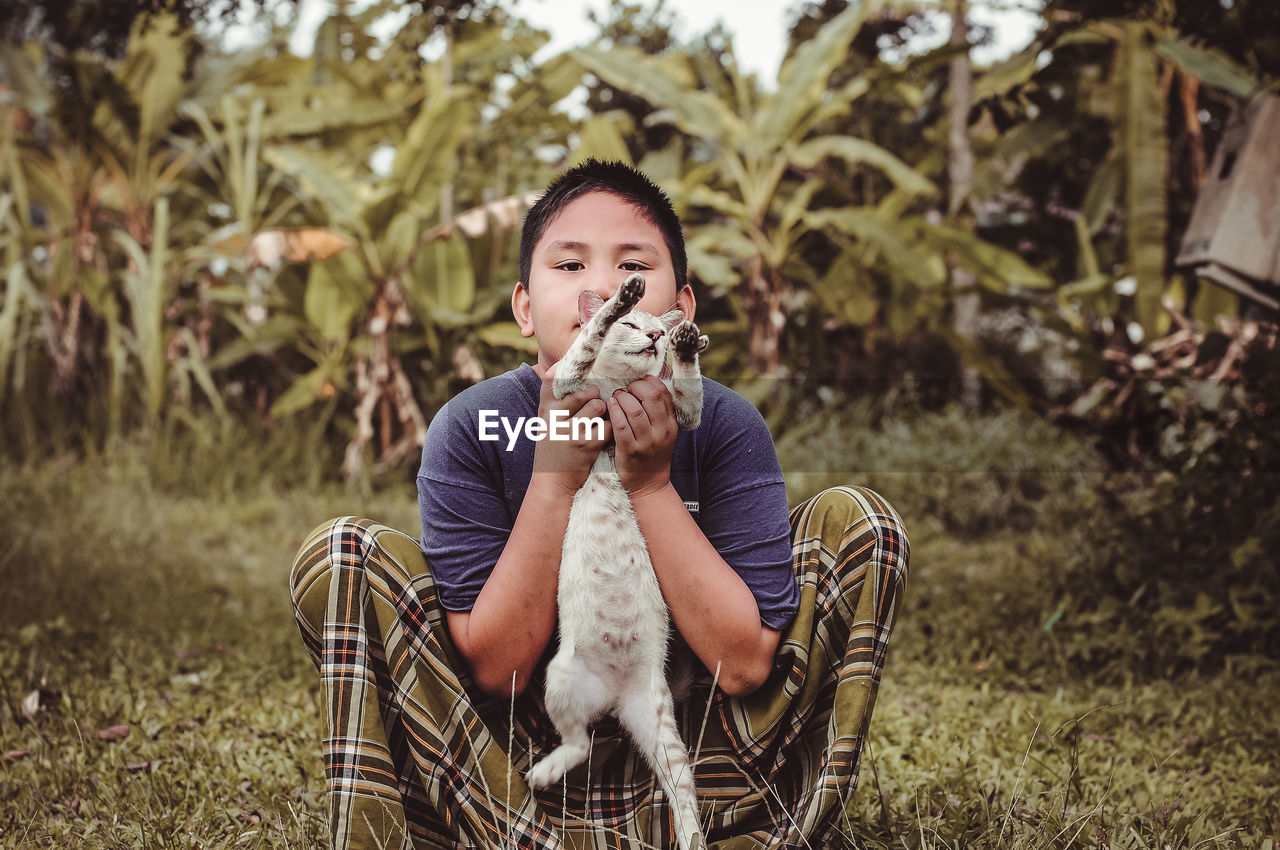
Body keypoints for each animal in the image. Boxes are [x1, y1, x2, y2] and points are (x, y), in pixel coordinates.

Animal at [527, 273, 711, 850]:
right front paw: (614, 302)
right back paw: (544, 770)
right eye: (633, 325)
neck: (619, 390)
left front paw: (687, 345)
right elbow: (585, 343)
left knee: (682, 796)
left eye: (657, 330)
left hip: (662, 726)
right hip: (560, 679)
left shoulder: (682, 413)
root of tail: (616, 695)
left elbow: (690, 394)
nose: (656, 338)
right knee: (579, 743)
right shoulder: (569, 387)